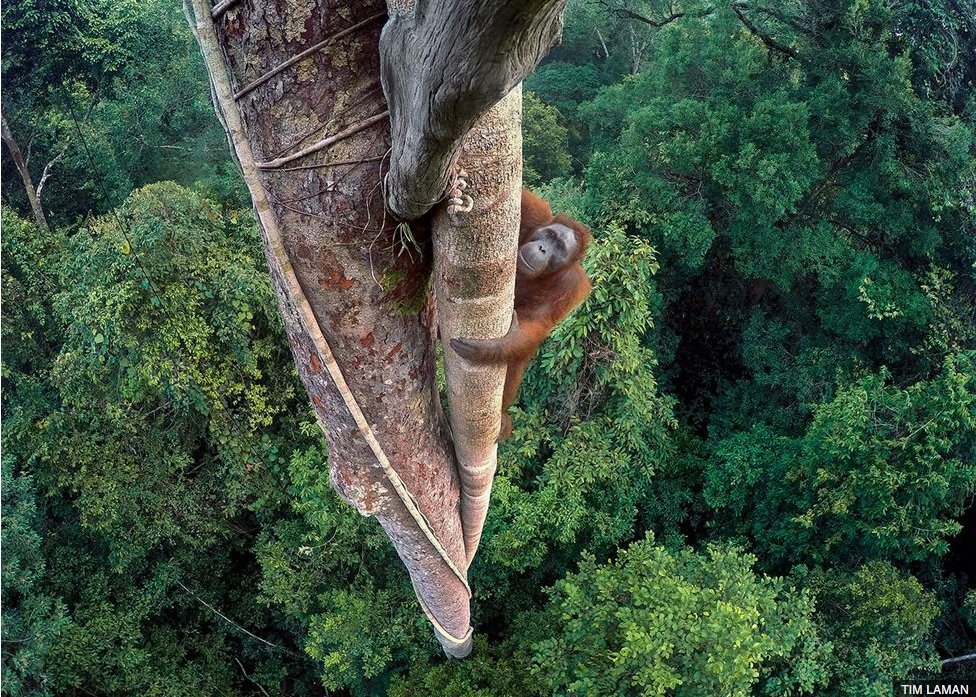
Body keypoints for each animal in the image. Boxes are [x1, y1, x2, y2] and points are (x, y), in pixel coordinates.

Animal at [451, 189, 592, 441]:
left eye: (559, 247)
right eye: (549, 235)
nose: (543, 248)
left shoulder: (572, 284)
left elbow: (537, 323)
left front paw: (496, 345)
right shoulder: (534, 214)